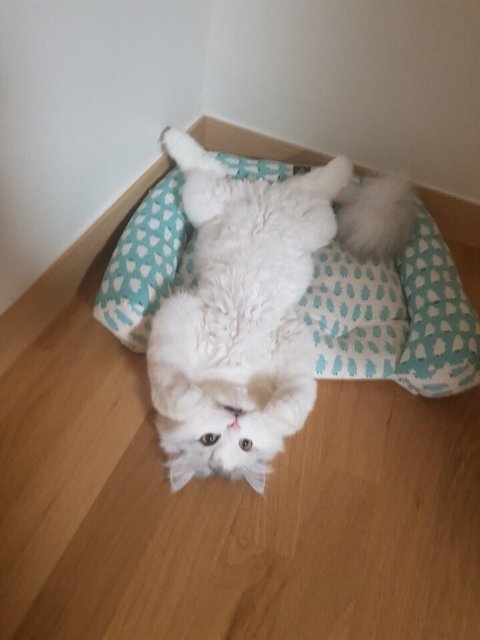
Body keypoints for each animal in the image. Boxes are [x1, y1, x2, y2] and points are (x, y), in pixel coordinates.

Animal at [147, 129, 414, 493]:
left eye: (245, 444)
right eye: (210, 440)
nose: (235, 420)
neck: (232, 368)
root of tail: (266, 196)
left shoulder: (282, 341)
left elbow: (293, 407)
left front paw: (267, 414)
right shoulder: (179, 316)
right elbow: (167, 387)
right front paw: (193, 402)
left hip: (284, 216)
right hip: (233, 205)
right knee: (215, 168)